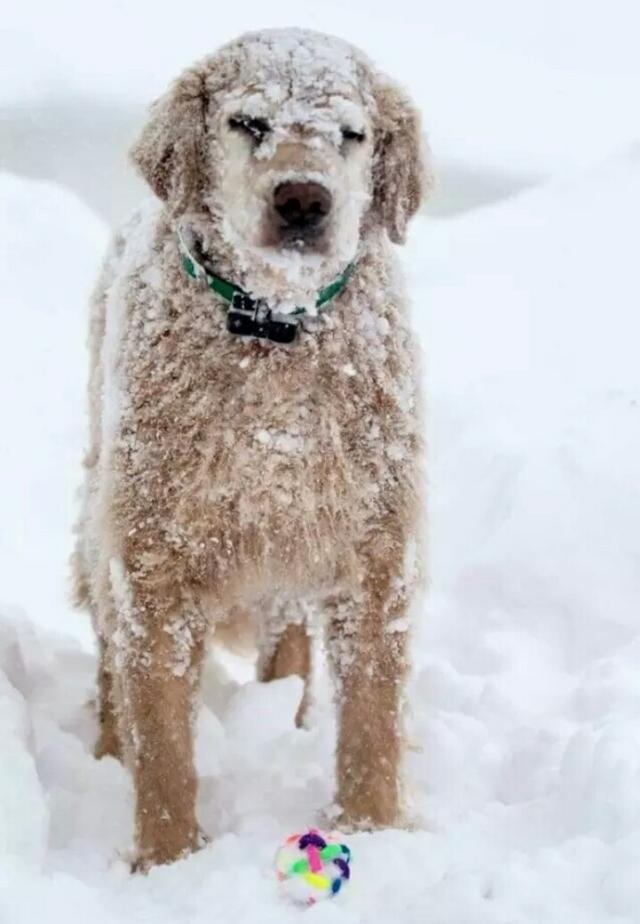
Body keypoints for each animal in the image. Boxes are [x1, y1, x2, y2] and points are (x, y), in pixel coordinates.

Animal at [72, 27, 428, 868]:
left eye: (351, 135)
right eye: (248, 124)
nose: (302, 199)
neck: (274, 327)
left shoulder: (375, 548)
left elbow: (372, 719)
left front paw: (369, 830)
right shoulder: (152, 557)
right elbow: (162, 736)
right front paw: (166, 862)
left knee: (289, 645)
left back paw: (285, 715)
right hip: (103, 509)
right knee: (108, 659)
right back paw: (106, 749)